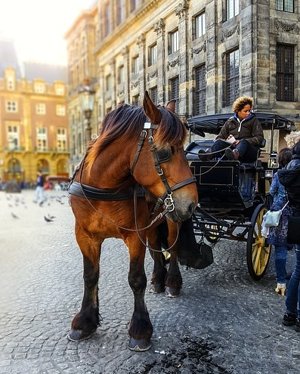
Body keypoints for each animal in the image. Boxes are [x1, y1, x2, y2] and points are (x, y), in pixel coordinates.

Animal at [69, 90, 198, 350]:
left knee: (173, 249)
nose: (191, 203)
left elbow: (136, 279)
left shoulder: (134, 236)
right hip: (154, 221)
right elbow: (90, 276)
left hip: (170, 220)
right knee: (157, 250)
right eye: (165, 151)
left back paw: (172, 281)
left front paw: (140, 329)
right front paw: (85, 321)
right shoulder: (85, 236)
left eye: (183, 148)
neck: (104, 187)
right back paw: (159, 279)